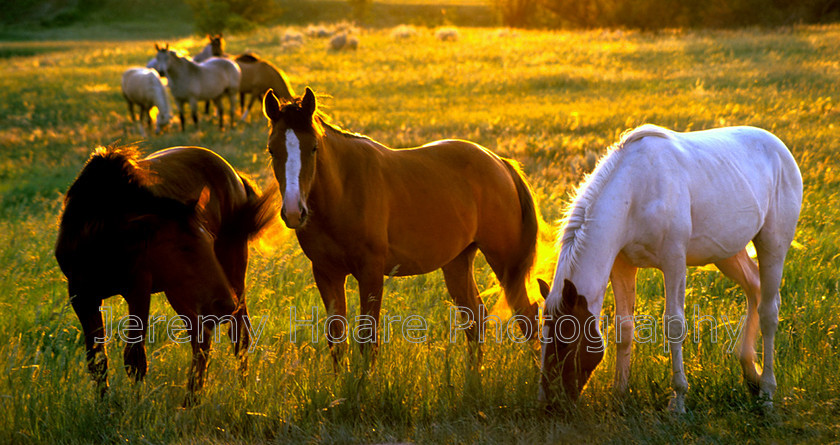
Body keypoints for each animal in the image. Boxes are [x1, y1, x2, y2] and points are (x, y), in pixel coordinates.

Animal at [53, 145, 276, 402]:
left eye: (209, 241)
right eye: (183, 247)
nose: (225, 304)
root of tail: (234, 176)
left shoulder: (138, 289)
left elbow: (134, 358)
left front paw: (136, 406)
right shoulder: (81, 296)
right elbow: (97, 360)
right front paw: (104, 405)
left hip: (231, 271)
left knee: (239, 335)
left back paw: (241, 391)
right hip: (181, 291)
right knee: (201, 337)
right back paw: (192, 399)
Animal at [260, 87, 540, 368]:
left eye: (313, 148)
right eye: (272, 150)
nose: (294, 211)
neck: (343, 191)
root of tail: (500, 162)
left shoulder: (371, 272)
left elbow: (368, 341)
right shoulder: (326, 273)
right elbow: (337, 343)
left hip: (504, 262)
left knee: (527, 316)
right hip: (457, 262)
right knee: (475, 319)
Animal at [540, 124, 804, 412]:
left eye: (565, 340)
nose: (550, 401)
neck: (635, 192)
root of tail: (780, 149)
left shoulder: (674, 260)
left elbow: (674, 325)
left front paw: (678, 401)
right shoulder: (621, 265)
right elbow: (624, 327)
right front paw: (619, 394)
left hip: (772, 245)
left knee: (769, 311)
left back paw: (766, 392)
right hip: (728, 253)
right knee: (754, 289)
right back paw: (750, 373)